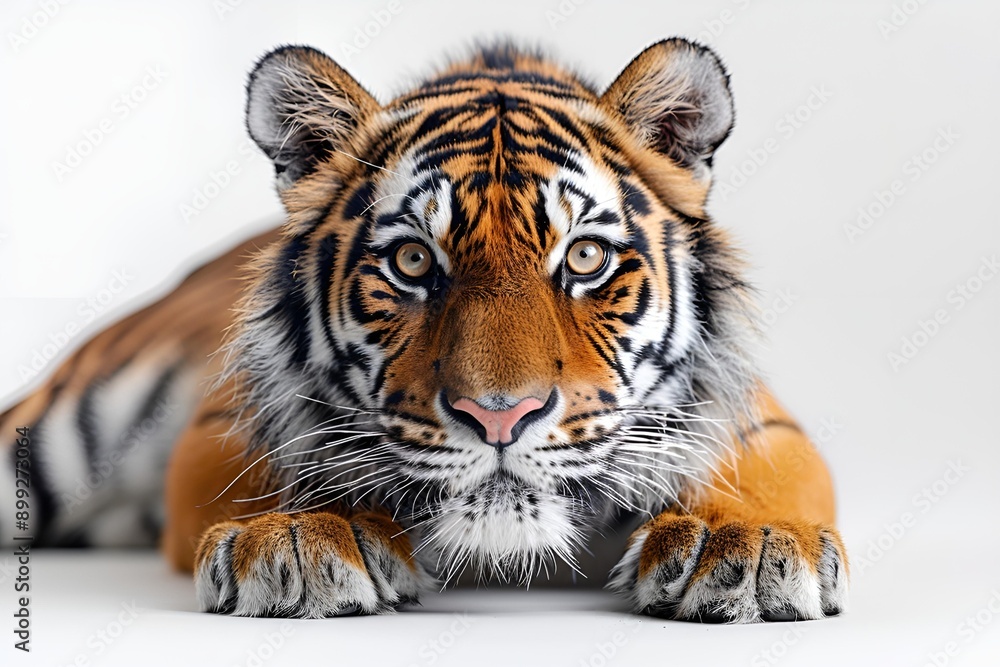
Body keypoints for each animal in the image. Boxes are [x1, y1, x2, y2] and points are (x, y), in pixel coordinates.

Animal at [0, 38, 847, 623]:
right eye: (413, 260)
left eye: (584, 256)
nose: (500, 415)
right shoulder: (220, 428)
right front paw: (305, 534)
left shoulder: (758, 421)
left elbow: (759, 473)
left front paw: (743, 542)